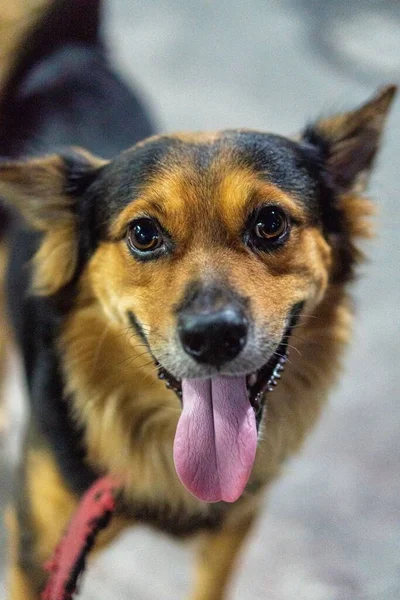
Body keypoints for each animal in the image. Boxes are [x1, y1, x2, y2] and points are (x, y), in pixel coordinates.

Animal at [0, 0, 394, 596]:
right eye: (143, 234)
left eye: (270, 223)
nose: (213, 337)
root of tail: (73, 51)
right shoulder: (35, 548)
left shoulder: (233, 528)